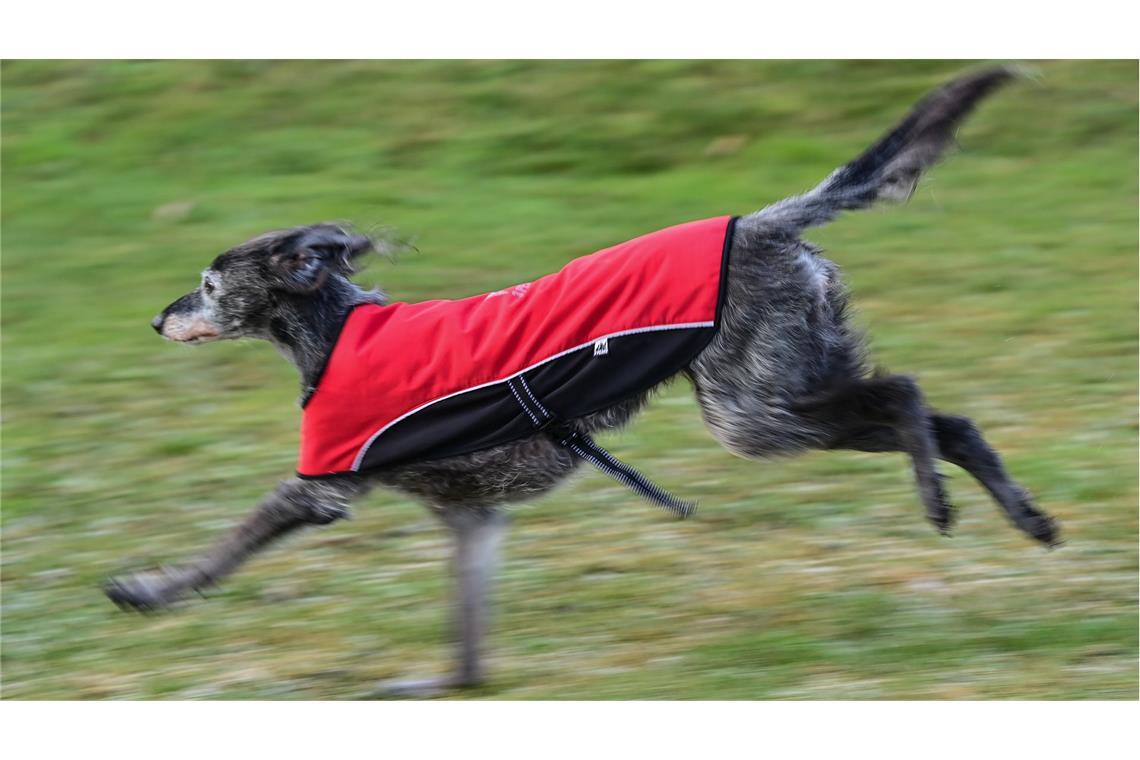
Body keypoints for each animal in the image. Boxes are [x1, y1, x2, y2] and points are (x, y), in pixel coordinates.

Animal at [107, 66, 1057, 697]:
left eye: (210, 284)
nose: (153, 319)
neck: (338, 330)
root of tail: (761, 222)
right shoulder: (470, 518)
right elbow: (467, 642)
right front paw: (445, 686)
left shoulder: (320, 488)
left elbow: (224, 548)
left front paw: (148, 590)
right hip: (783, 388)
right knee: (953, 419)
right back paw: (1027, 518)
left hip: (753, 412)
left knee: (907, 397)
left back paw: (939, 500)